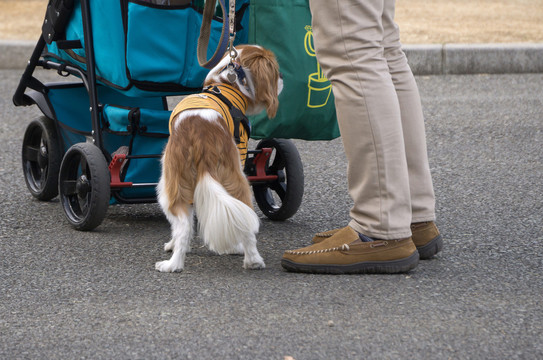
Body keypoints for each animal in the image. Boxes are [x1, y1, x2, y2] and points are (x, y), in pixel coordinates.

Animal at [155, 45, 282, 272]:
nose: (283, 78)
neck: (226, 85)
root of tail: (201, 135)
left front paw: (172, 245)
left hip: (171, 183)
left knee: (183, 225)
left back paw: (173, 264)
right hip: (234, 179)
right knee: (243, 223)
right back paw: (252, 260)